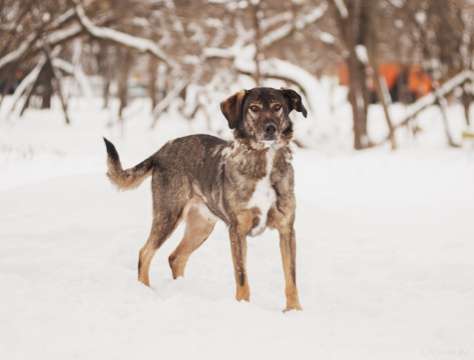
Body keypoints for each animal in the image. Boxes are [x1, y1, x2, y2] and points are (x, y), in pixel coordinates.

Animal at [103, 87, 308, 312]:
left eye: (278, 106)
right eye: (253, 108)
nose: (270, 129)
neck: (264, 160)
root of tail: (163, 149)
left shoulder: (287, 230)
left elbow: (291, 277)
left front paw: (294, 311)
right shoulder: (238, 230)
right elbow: (242, 276)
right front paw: (243, 308)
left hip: (201, 226)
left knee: (176, 257)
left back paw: (182, 290)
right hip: (168, 214)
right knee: (145, 252)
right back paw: (145, 291)